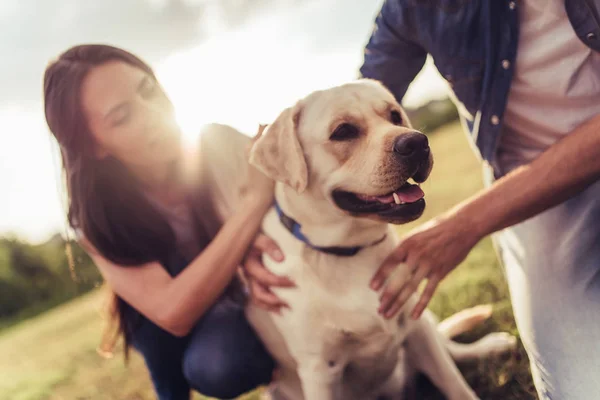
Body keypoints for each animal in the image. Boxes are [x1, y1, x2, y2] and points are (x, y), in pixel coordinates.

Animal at [241, 79, 516, 400]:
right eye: (343, 131)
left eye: (394, 115)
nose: (416, 143)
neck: (349, 250)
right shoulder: (319, 370)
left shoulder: (416, 327)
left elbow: (457, 387)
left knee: (451, 349)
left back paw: (489, 346)